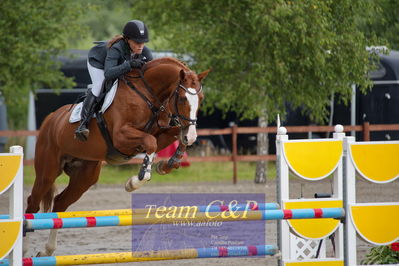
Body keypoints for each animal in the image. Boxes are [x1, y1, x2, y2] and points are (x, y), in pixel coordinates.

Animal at [24, 57, 212, 256]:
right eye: (183, 98)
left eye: (201, 99)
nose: (192, 135)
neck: (148, 94)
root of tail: (50, 118)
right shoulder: (121, 137)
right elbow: (151, 142)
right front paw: (135, 182)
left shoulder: (162, 133)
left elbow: (172, 135)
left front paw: (168, 164)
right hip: (47, 171)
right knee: (33, 203)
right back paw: (25, 249)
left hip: (84, 176)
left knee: (60, 203)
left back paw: (47, 251)